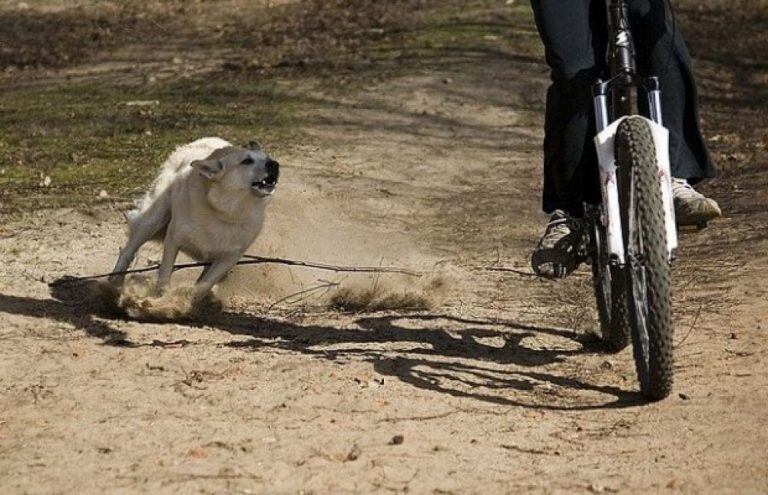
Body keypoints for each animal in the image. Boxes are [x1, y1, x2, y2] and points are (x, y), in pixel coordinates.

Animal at [106, 138, 278, 296]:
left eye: (268, 157)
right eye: (246, 161)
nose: (274, 164)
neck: (224, 212)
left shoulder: (228, 259)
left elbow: (204, 284)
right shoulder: (173, 239)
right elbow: (165, 273)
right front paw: (161, 297)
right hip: (153, 219)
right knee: (127, 251)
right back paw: (115, 281)